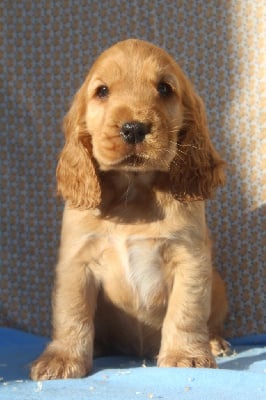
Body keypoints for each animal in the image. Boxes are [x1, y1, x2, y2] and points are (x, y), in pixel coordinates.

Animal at [30, 39, 229, 380]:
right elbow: (72, 313)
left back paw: (214, 342)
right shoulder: (76, 261)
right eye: (102, 91)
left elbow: (186, 310)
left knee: (210, 320)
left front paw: (185, 355)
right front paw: (62, 359)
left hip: (218, 284)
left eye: (164, 88)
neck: (133, 191)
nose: (134, 128)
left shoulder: (191, 258)